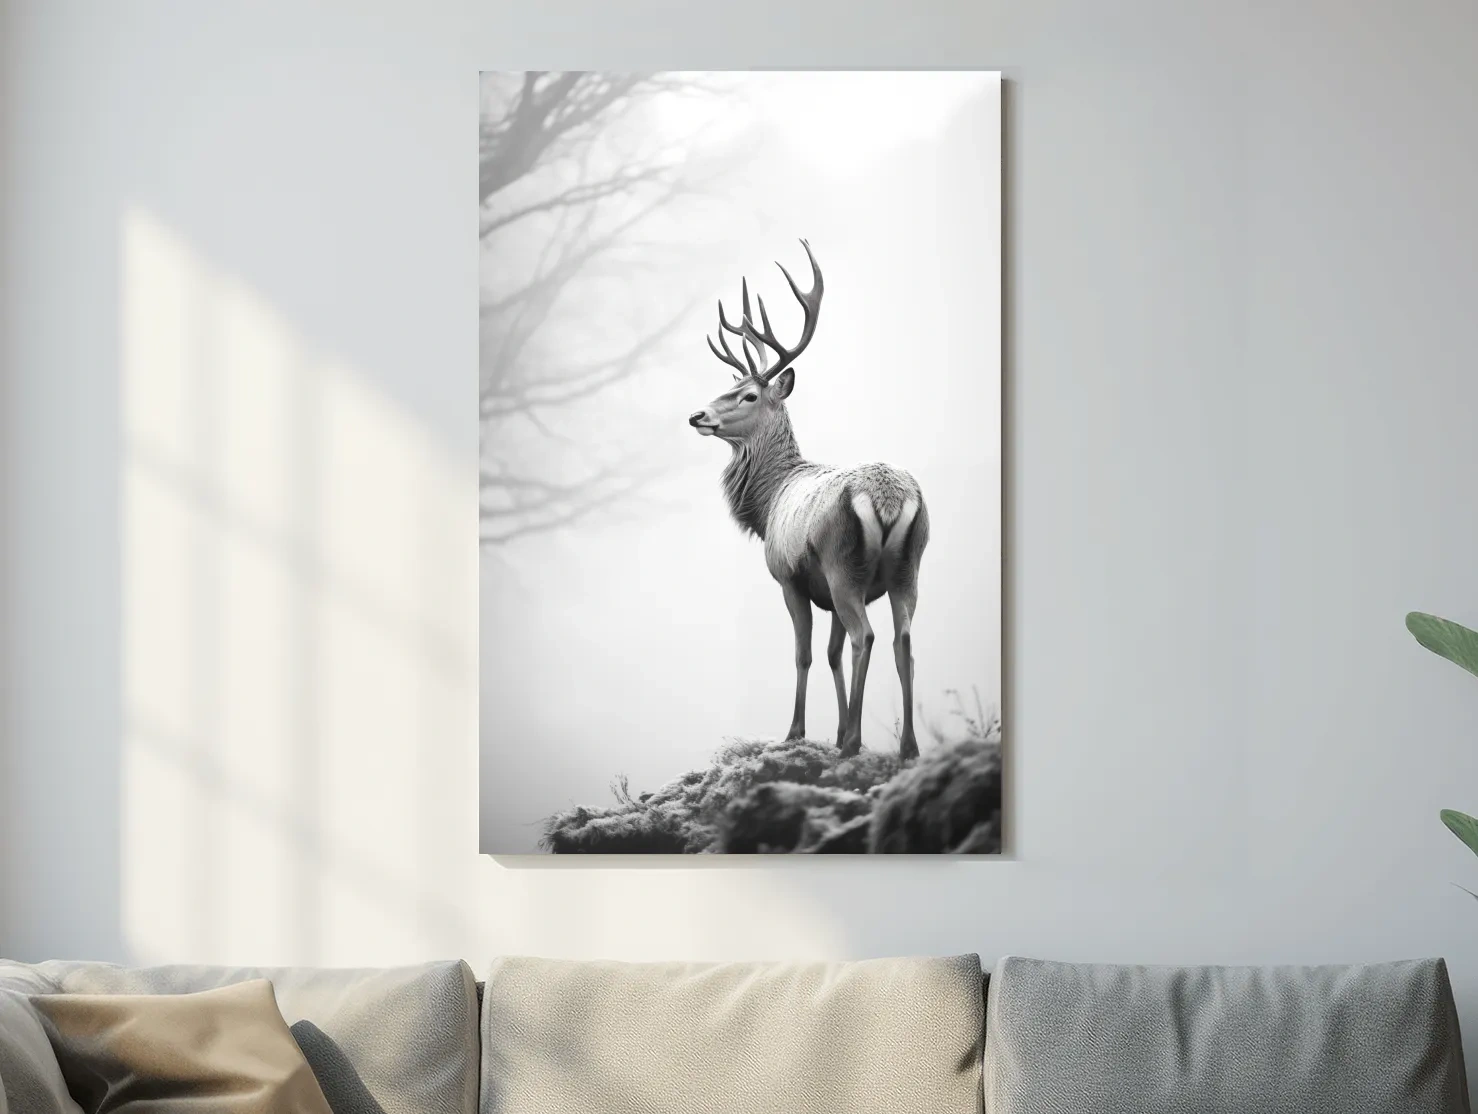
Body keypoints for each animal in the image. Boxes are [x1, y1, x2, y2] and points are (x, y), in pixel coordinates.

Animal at [688, 240, 929, 761]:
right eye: (729, 386)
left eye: (748, 394)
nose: (697, 415)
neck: (769, 501)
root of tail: (888, 498)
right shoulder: (827, 593)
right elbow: (832, 654)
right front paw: (834, 730)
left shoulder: (790, 577)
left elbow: (805, 654)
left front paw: (798, 732)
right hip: (908, 568)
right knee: (902, 641)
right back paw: (907, 747)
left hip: (843, 564)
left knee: (867, 636)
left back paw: (855, 742)